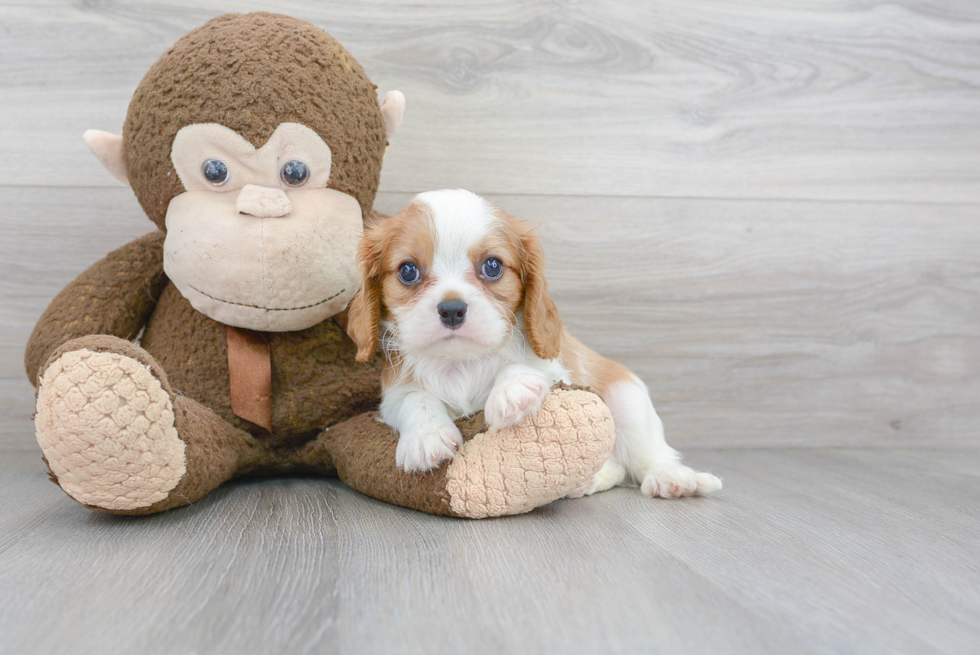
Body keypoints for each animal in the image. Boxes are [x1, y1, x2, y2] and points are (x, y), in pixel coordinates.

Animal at [346, 188, 720, 498]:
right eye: (408, 271)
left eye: (492, 266)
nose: (452, 309)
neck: (462, 361)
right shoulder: (394, 393)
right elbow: (416, 399)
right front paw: (427, 437)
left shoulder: (557, 371)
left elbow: (525, 366)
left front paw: (513, 392)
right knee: (614, 466)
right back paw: (587, 481)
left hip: (629, 400)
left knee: (648, 456)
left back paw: (671, 478)